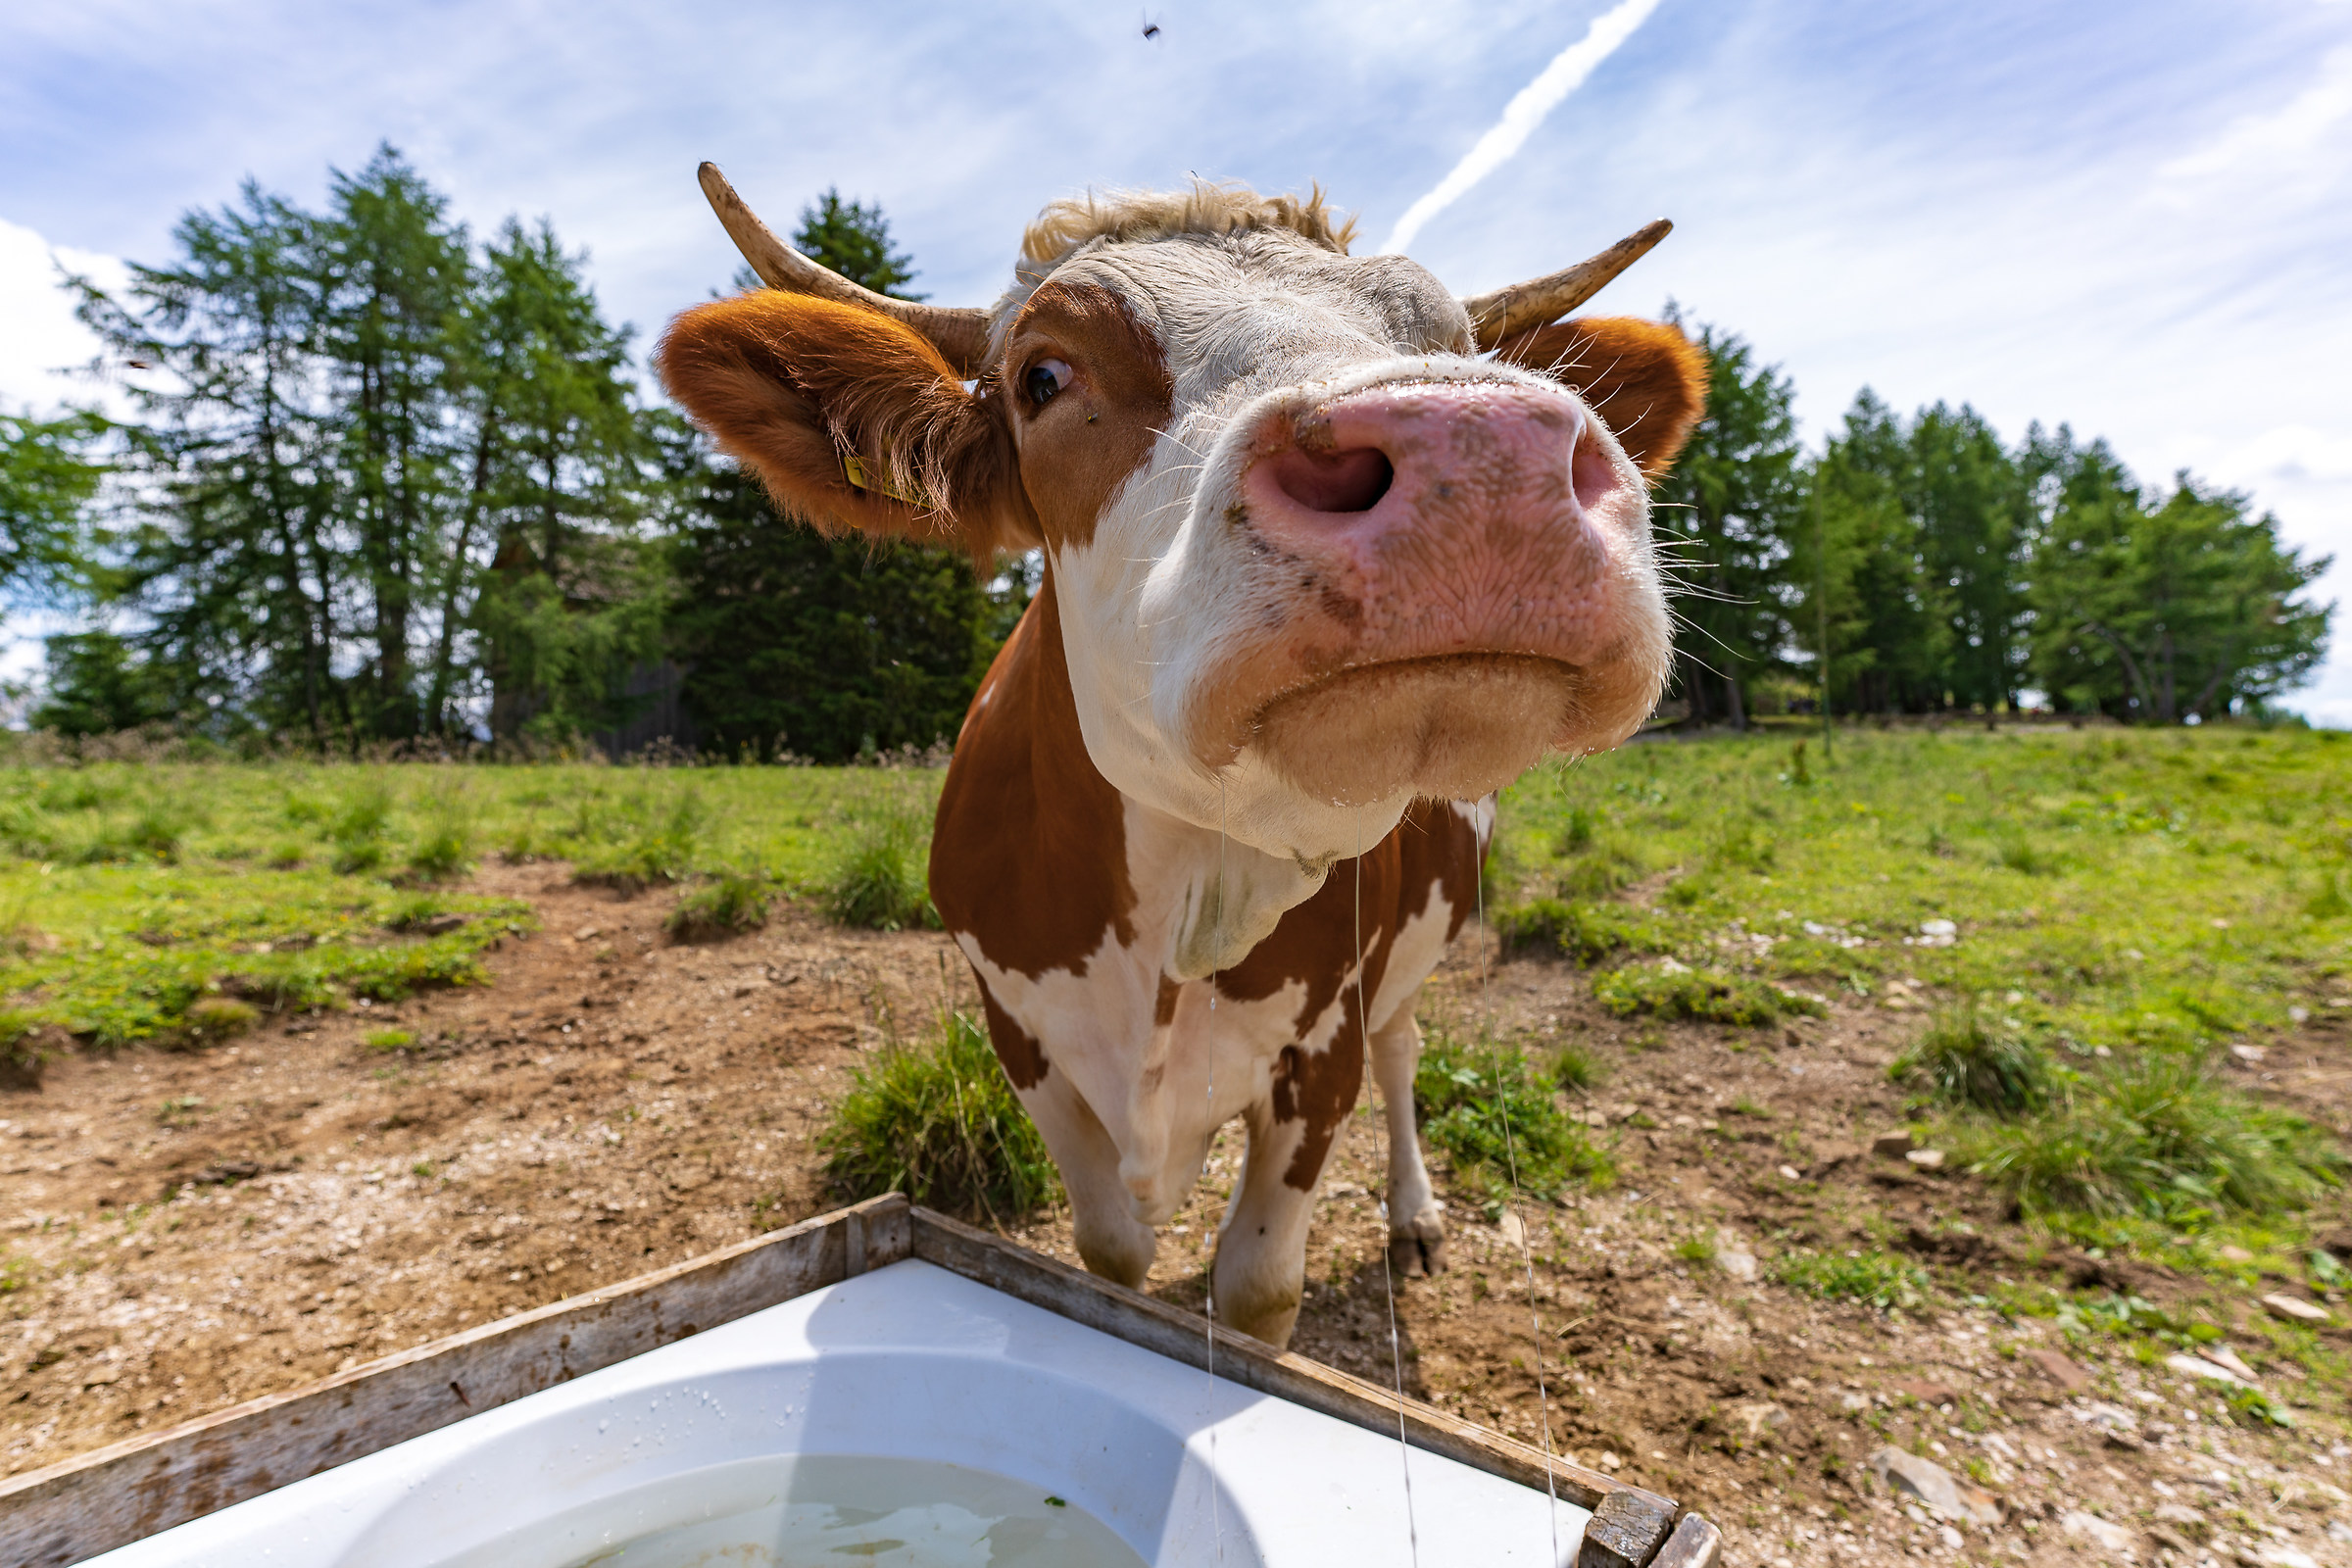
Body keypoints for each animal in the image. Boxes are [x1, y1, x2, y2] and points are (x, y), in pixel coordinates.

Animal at [657, 166, 1704, 1349]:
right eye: (1043, 376)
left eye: (1464, 348)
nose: (1474, 449)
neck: (1188, 906)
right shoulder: (1022, 1035)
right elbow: (1110, 1251)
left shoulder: (1322, 1044)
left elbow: (1258, 1287)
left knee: (1404, 1046)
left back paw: (1414, 1215)